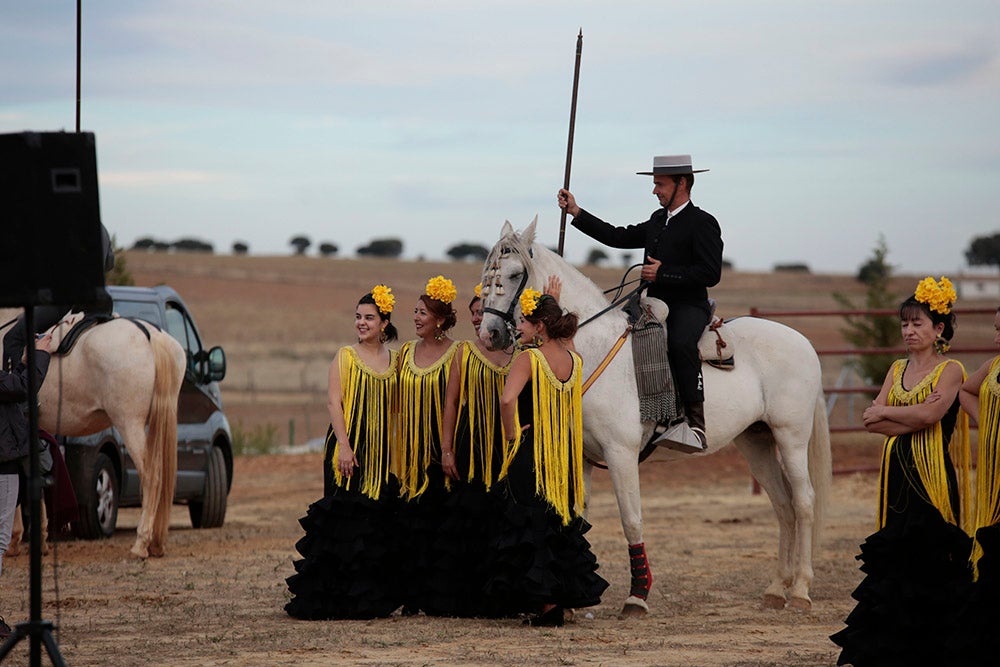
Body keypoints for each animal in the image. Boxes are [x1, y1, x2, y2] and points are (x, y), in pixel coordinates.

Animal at [480, 219, 832, 616]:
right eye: (487, 274)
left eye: (513, 274)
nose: (490, 334)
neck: (590, 348)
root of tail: (803, 342)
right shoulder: (581, 457)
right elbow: (577, 518)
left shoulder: (620, 454)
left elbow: (631, 521)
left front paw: (637, 595)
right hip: (756, 442)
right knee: (784, 505)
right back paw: (775, 588)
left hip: (791, 437)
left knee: (804, 502)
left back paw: (800, 589)